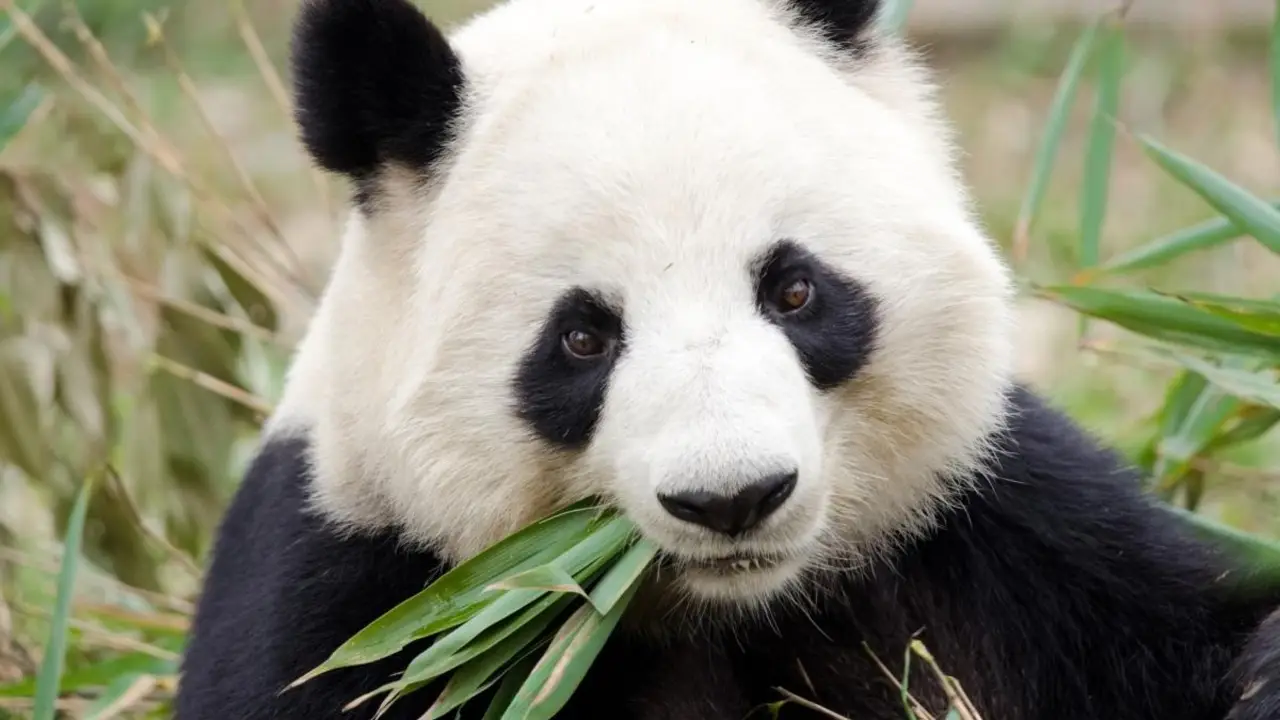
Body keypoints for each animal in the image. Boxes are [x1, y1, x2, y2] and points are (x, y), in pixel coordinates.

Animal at [174, 0, 1280, 718]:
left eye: (793, 290)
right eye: (583, 337)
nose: (732, 498)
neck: (728, 610)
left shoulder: (1002, 535)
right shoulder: (366, 596)